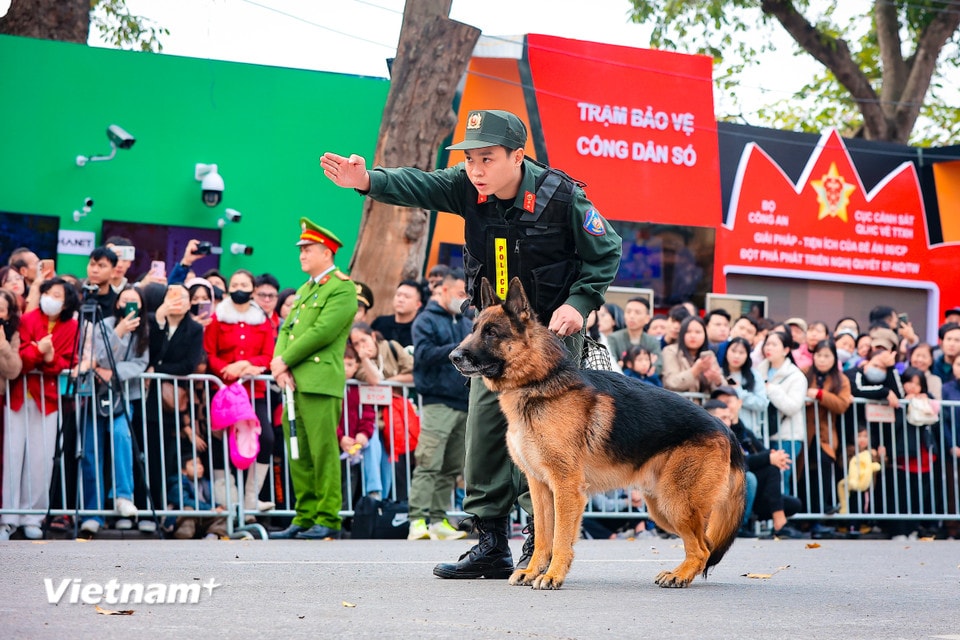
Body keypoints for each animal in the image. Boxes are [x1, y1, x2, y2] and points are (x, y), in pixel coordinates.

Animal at [450, 278, 752, 592]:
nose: (453, 357)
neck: (539, 382)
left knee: (703, 548)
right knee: (703, 545)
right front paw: (532, 571)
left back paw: (679, 575)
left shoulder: (566, 487)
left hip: (675, 503)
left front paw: (552, 575)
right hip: (661, 507)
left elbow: (560, 538)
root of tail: (726, 429)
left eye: (491, 333)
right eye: (474, 329)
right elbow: (543, 536)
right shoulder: (540, 488)